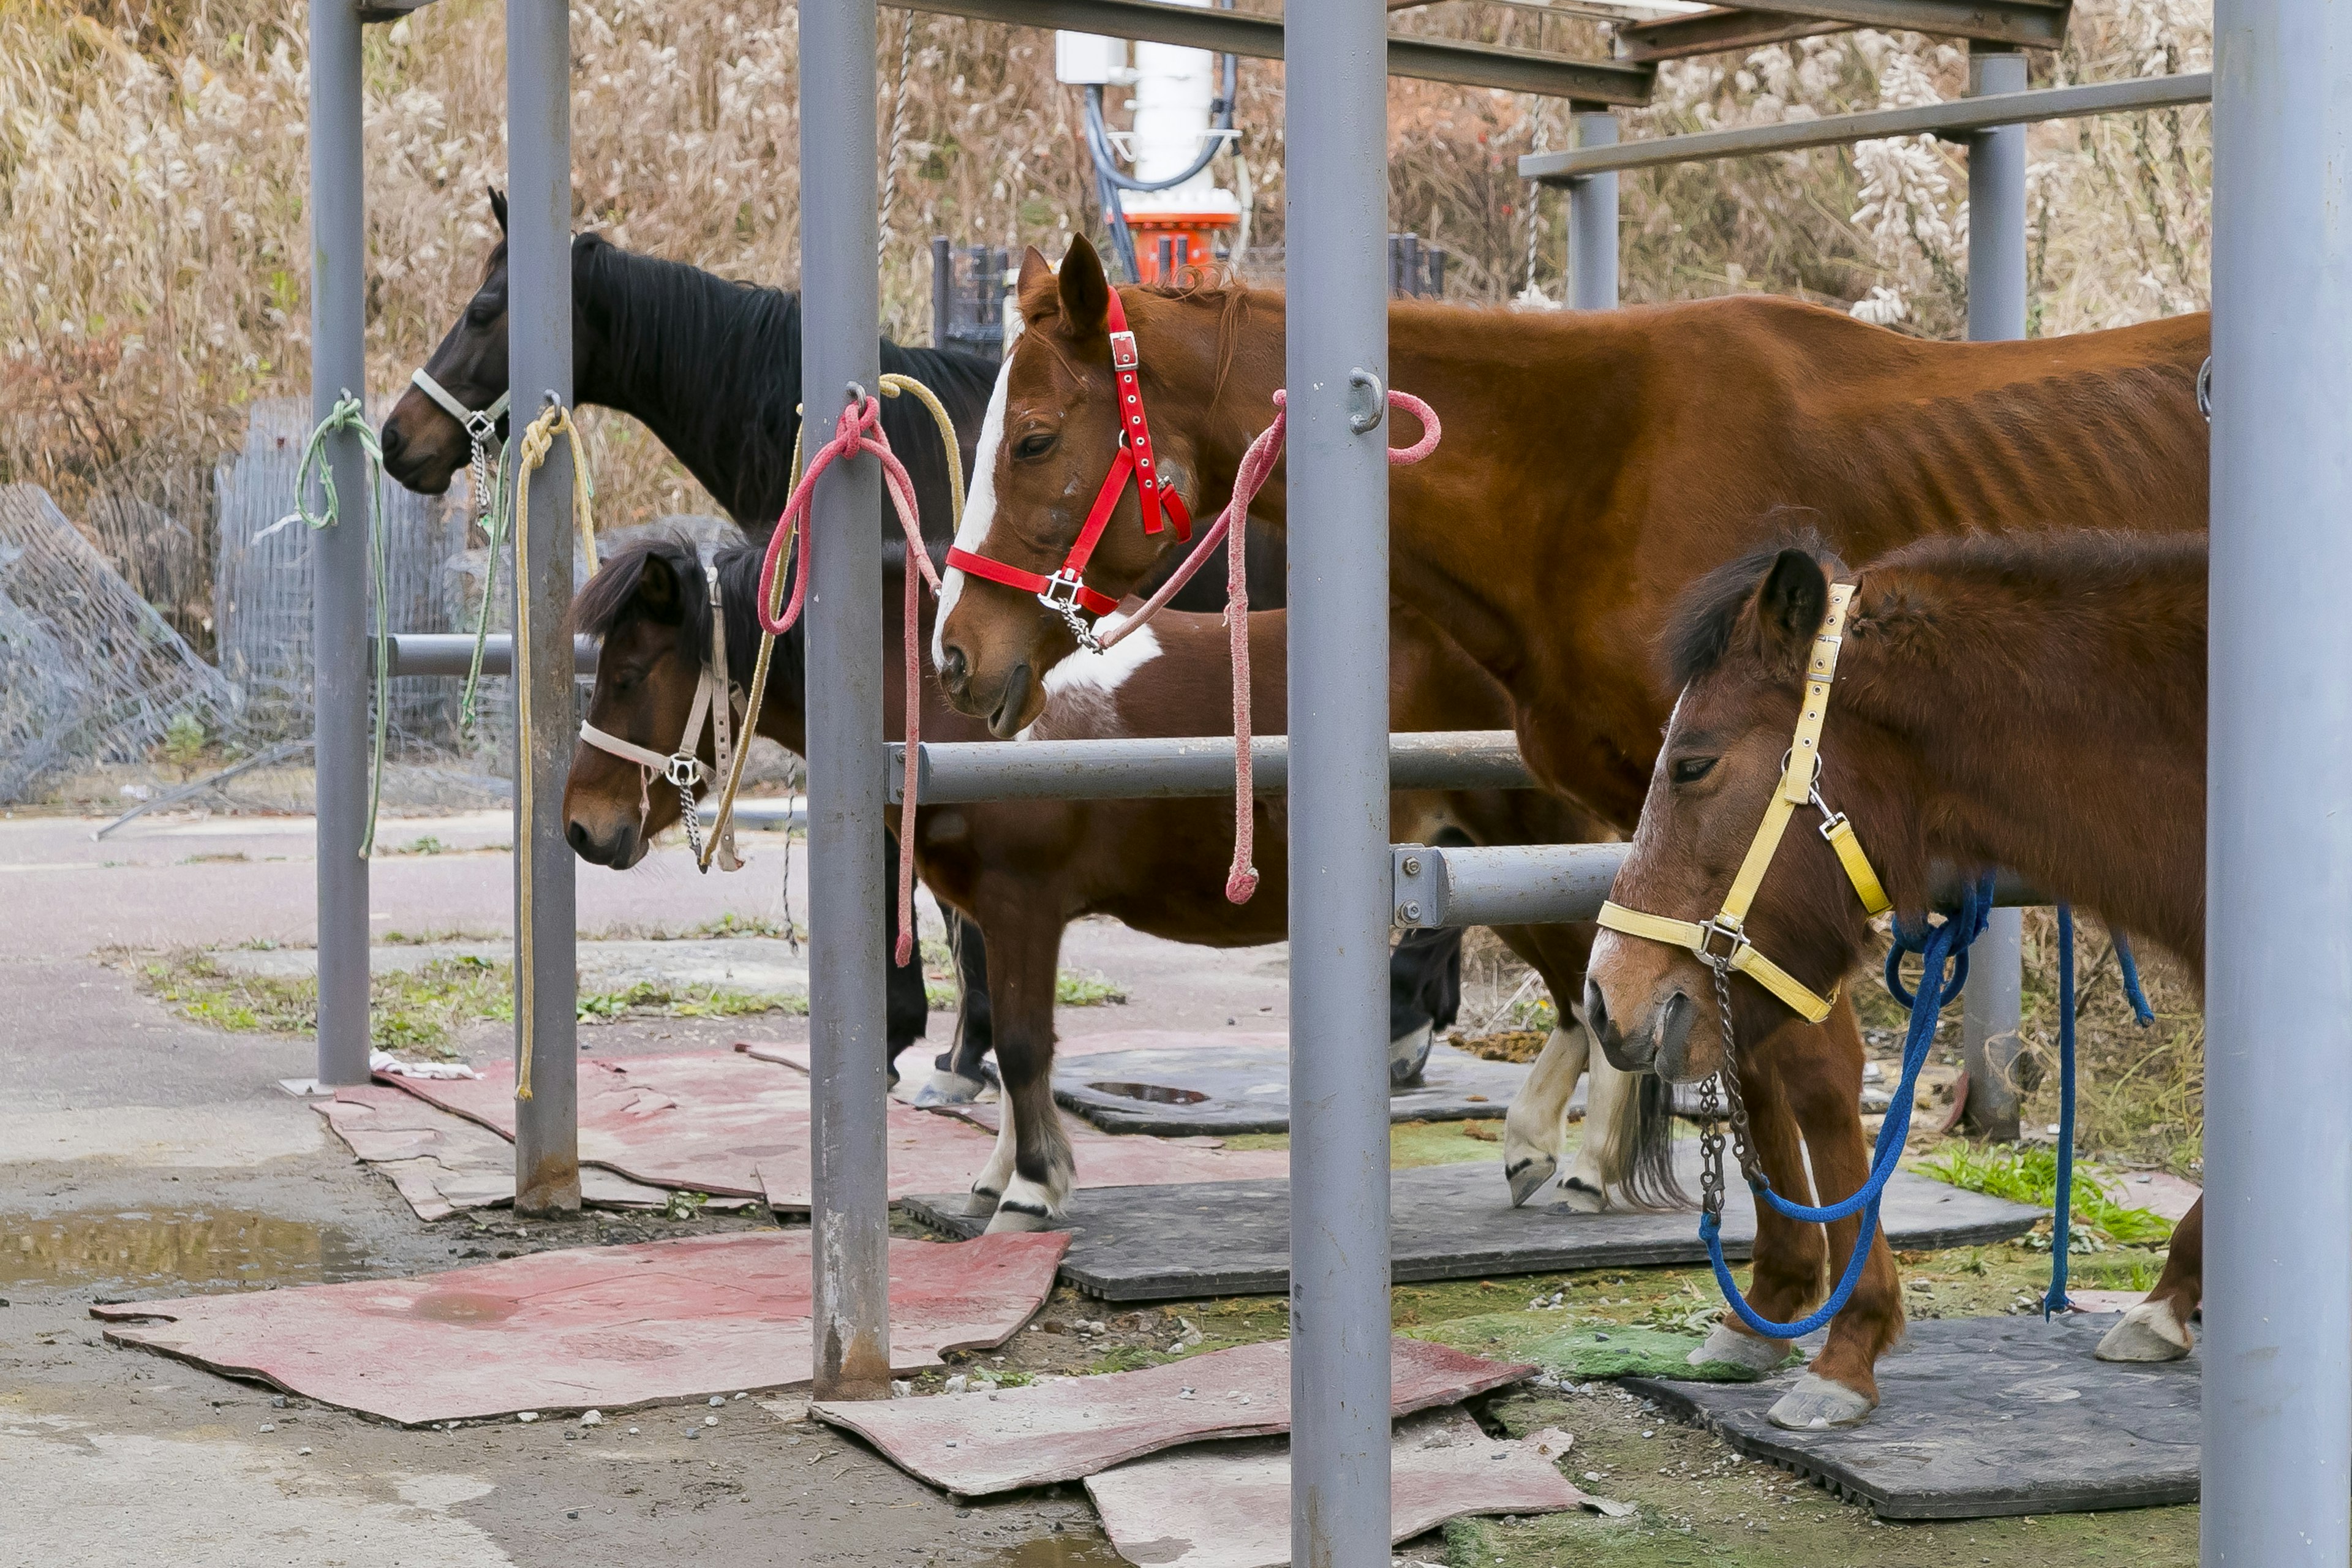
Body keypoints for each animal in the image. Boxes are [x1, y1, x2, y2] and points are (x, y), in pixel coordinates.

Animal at [564, 540, 1675, 1241]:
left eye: (628, 676)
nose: (580, 826)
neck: (964, 708)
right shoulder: (993, 916)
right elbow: (1011, 1043)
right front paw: (1003, 1174)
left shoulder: (1022, 907)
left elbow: (1021, 1045)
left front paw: (1034, 1191)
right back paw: (1540, 1153)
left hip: (1519, 848)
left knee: (1596, 993)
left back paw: (1578, 1168)